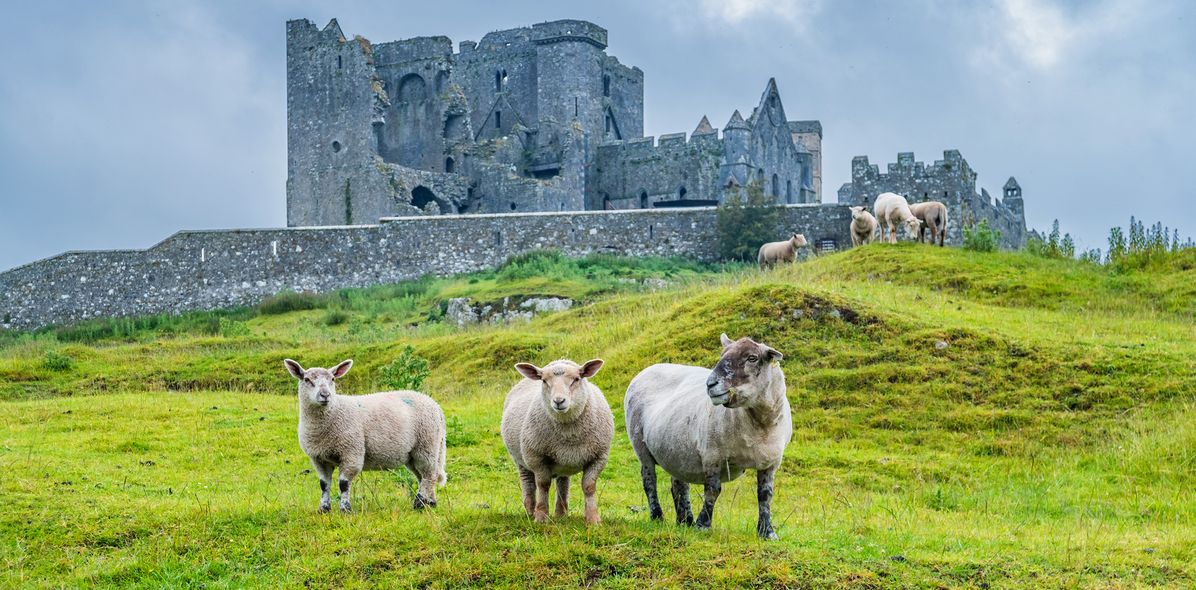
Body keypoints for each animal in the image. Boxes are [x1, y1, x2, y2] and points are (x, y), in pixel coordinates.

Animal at [284, 356, 449, 512]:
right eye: (307, 379)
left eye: (332, 379)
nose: (325, 395)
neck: (334, 411)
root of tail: (435, 405)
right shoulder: (318, 458)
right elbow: (324, 484)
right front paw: (323, 509)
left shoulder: (351, 452)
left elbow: (344, 484)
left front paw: (345, 509)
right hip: (414, 454)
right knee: (423, 476)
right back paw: (430, 502)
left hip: (427, 445)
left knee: (429, 475)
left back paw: (419, 503)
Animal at [499, 356, 612, 521]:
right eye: (544, 380)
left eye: (577, 379)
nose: (559, 401)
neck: (569, 434)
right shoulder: (536, 457)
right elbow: (543, 485)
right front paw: (541, 517)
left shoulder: (599, 457)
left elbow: (589, 486)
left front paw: (593, 519)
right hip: (520, 459)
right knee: (528, 484)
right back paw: (530, 512)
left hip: (564, 462)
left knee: (562, 485)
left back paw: (561, 515)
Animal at [626, 330, 794, 538]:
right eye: (722, 355)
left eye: (752, 358)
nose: (710, 384)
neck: (759, 425)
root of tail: (650, 368)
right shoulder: (712, 454)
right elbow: (713, 490)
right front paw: (703, 525)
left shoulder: (771, 462)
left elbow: (765, 495)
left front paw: (767, 532)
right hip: (640, 446)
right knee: (649, 481)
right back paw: (658, 516)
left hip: (677, 450)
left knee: (679, 485)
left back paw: (685, 521)